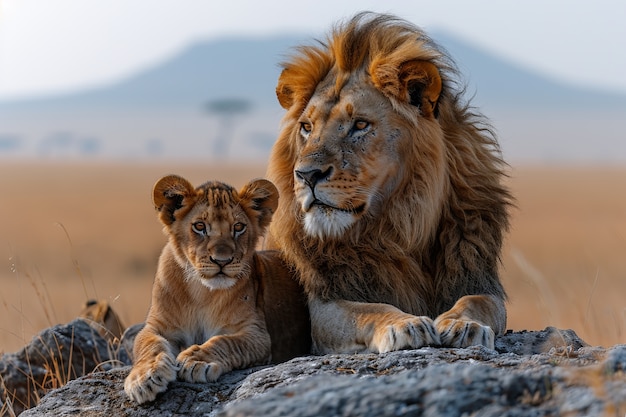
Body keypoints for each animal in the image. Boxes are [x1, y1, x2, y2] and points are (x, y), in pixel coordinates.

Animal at [123, 175, 308, 404]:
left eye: (238, 227)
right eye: (199, 226)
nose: (222, 261)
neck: (201, 292)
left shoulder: (257, 334)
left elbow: (225, 341)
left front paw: (196, 360)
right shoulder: (157, 326)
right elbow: (148, 345)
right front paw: (144, 378)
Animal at [266, 11, 510, 352]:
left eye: (360, 125)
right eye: (306, 127)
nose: (306, 174)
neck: (398, 225)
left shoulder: (476, 278)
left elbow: (477, 302)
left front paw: (463, 324)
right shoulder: (325, 304)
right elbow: (370, 309)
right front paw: (404, 324)